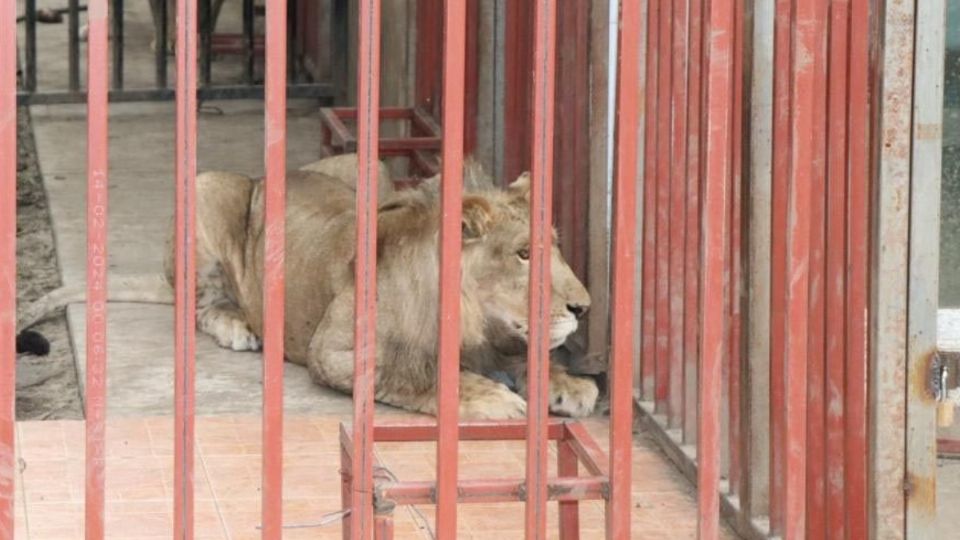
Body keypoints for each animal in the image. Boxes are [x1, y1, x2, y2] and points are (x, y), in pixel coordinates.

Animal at [15, 154, 596, 420]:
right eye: (524, 253)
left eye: (555, 245)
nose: (585, 308)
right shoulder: (332, 353)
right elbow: (413, 374)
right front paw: (489, 395)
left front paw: (567, 383)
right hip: (207, 186)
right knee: (197, 302)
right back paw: (238, 325)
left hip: (369, 167)